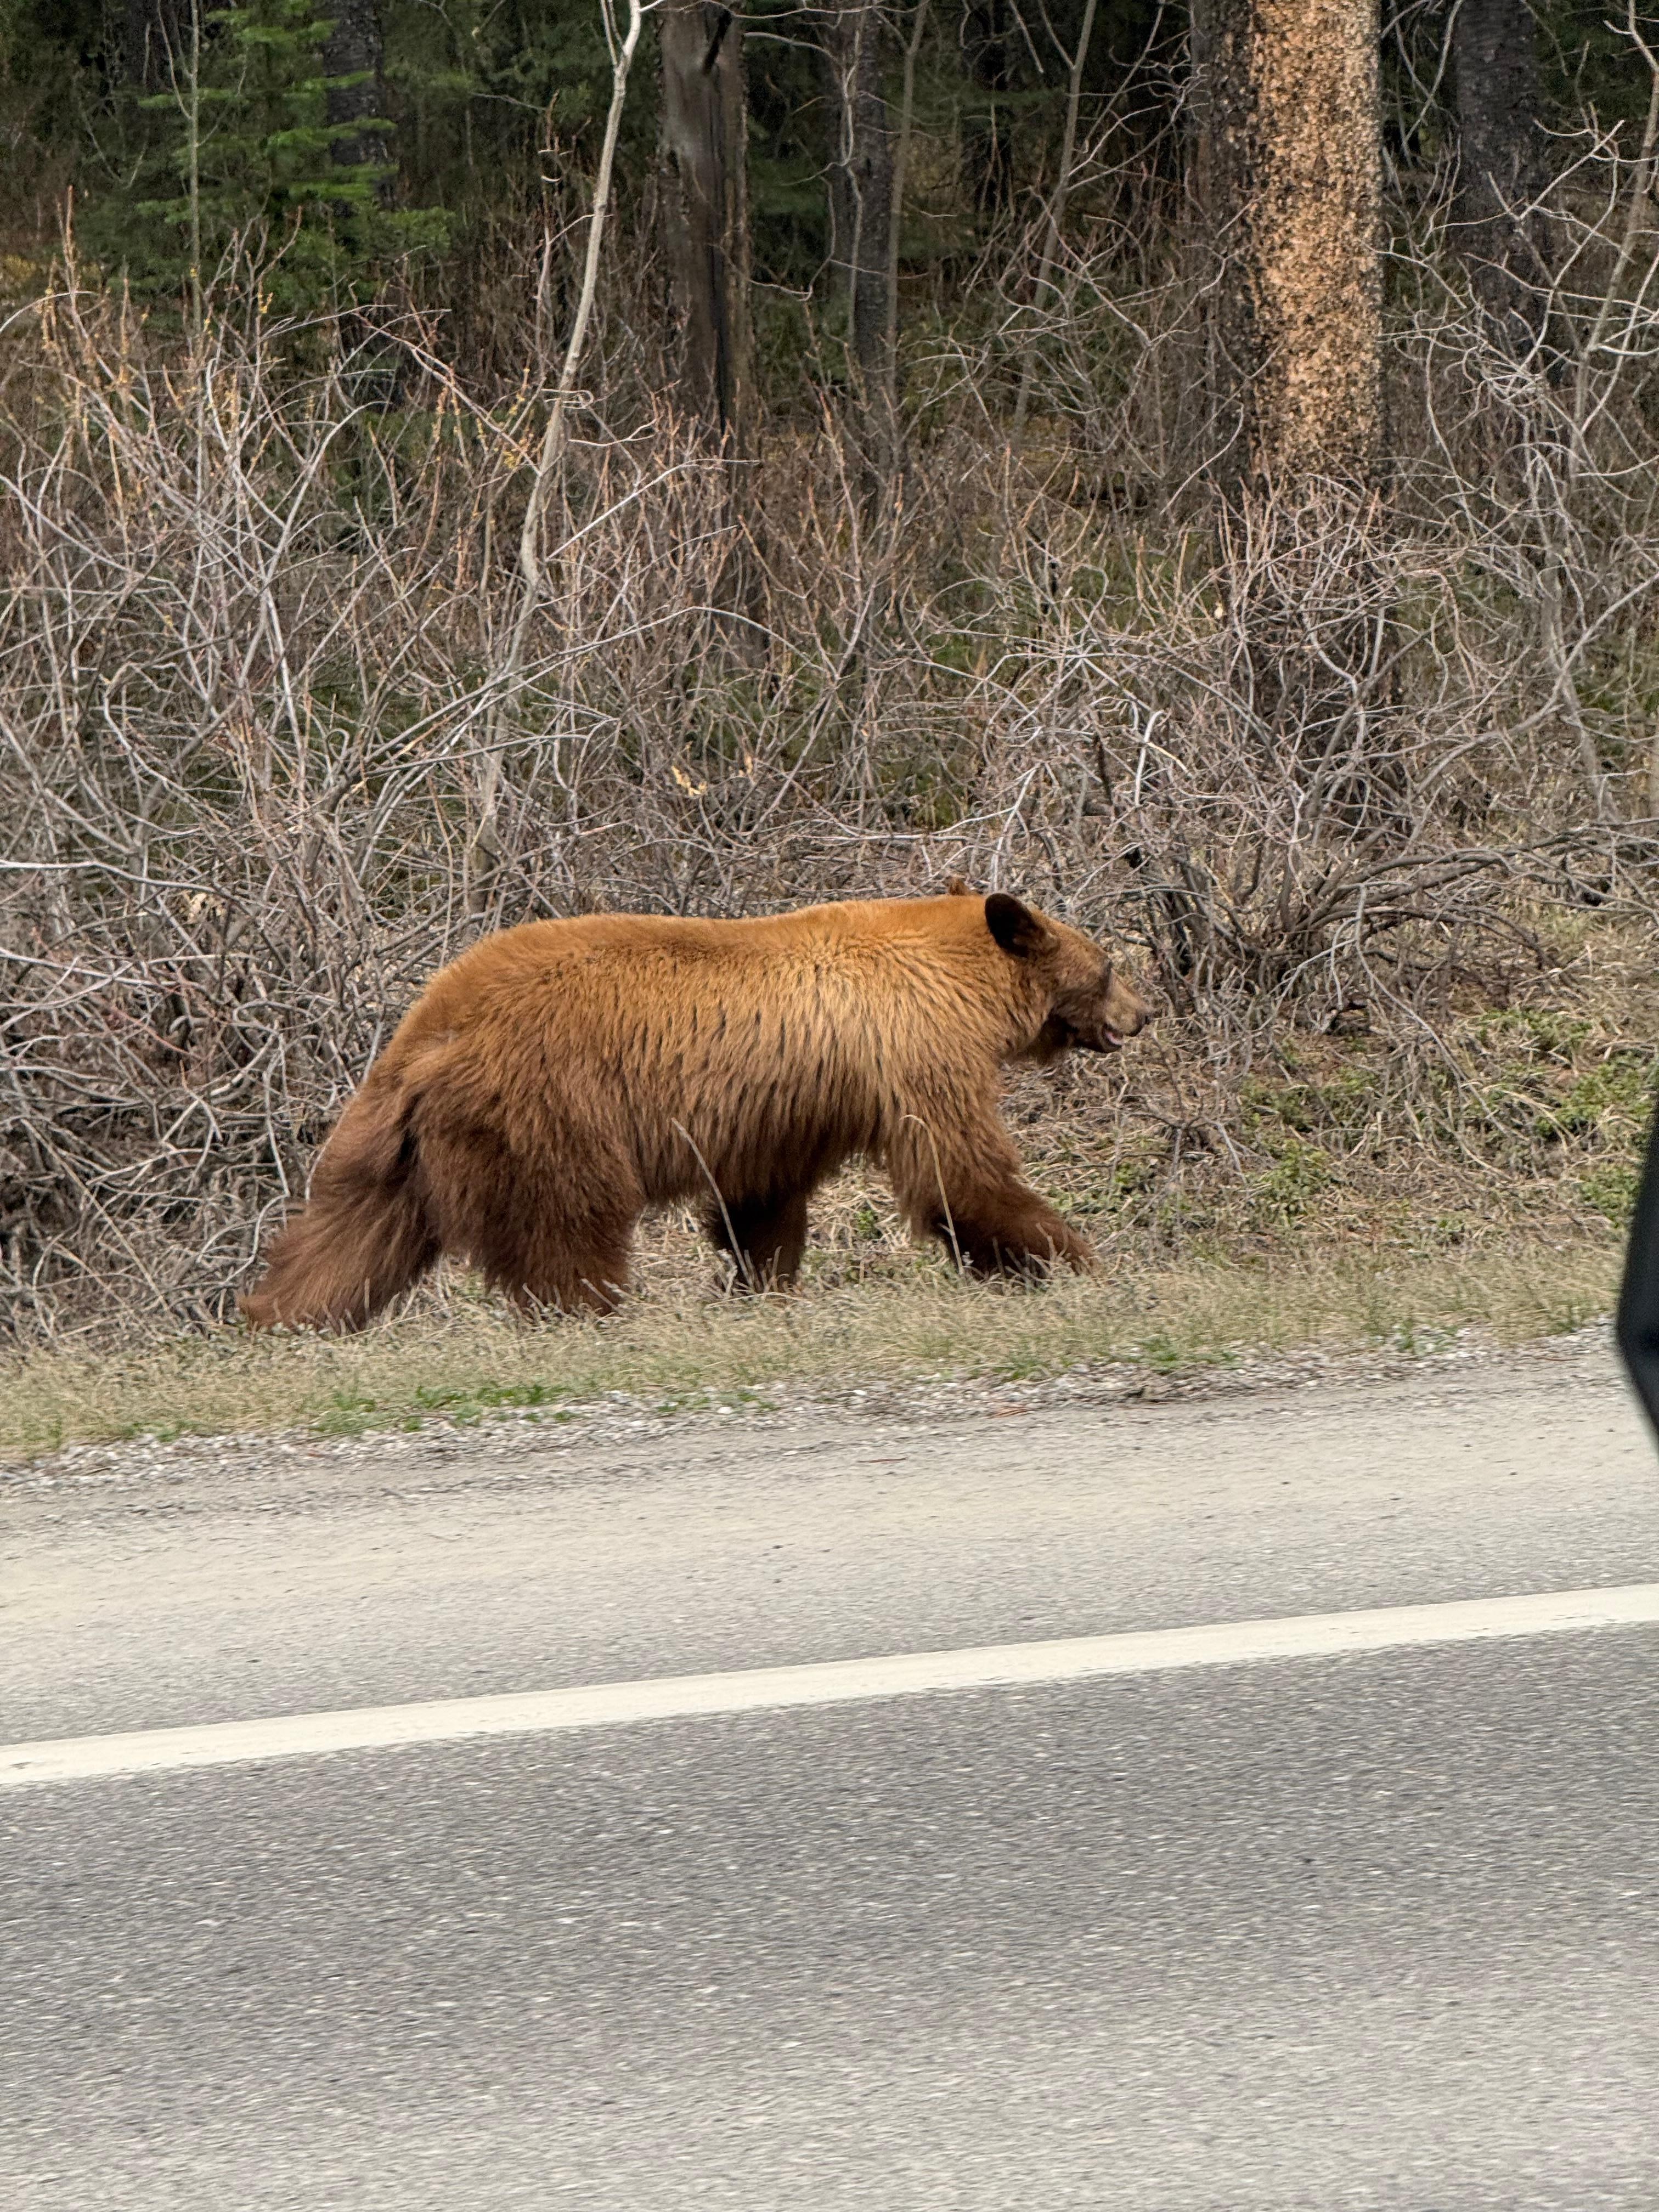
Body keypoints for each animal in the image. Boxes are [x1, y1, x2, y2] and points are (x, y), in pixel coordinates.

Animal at [240, 885, 1153, 1330]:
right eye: (1108, 966)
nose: (1142, 1014)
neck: (959, 982)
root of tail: (430, 1029)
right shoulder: (913, 1053)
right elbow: (958, 1174)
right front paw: (1071, 1257)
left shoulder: (782, 1110)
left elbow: (760, 1203)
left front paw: (760, 1285)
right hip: (549, 1110)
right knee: (569, 1226)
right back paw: (592, 1314)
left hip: (393, 1147)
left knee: (347, 1239)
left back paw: (280, 1323)